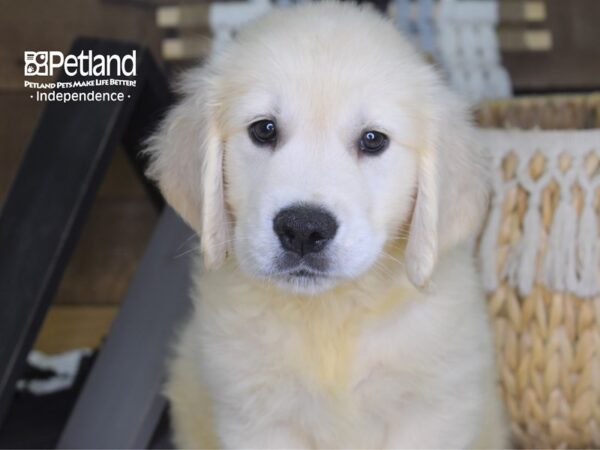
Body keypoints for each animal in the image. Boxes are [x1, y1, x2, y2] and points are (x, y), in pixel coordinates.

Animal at [145, 1, 506, 448]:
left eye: (373, 140)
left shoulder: (431, 413)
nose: (303, 229)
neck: (331, 314)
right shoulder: (257, 420)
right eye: (264, 129)